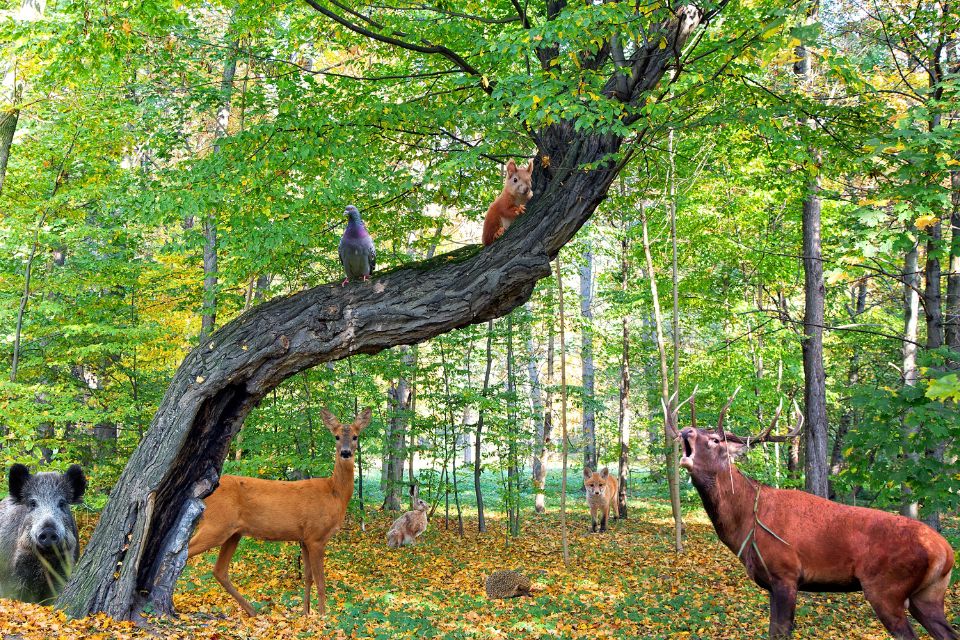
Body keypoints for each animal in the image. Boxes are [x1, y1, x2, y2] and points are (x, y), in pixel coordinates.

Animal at [188, 404, 372, 616]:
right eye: (336, 436)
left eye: (356, 436)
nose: (346, 452)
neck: (334, 494)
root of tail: (205, 492)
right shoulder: (316, 536)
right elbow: (321, 582)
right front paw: (323, 616)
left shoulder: (304, 538)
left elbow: (308, 578)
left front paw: (306, 613)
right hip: (216, 524)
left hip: (233, 533)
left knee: (219, 570)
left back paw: (252, 611)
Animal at [668, 390, 960, 640]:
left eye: (715, 440)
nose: (685, 430)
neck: (745, 526)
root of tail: (946, 552)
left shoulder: (786, 574)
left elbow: (781, 632)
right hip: (929, 595)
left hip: (887, 589)